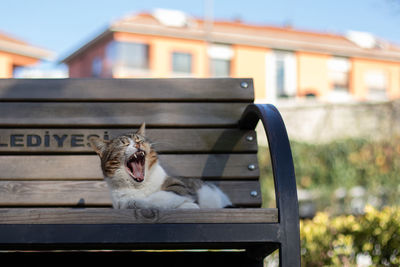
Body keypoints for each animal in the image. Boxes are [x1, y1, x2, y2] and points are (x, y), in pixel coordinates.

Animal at [87, 122, 231, 210]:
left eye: (139, 140)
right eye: (124, 144)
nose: (138, 144)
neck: (139, 187)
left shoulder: (178, 186)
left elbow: (159, 197)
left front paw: (136, 202)